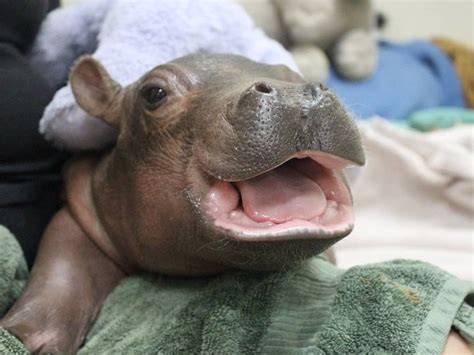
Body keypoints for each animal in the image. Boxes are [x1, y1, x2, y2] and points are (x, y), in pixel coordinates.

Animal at [0, 54, 364, 354]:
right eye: (154, 93)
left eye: (294, 74)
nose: (296, 95)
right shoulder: (80, 210)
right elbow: (62, 269)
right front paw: (23, 336)